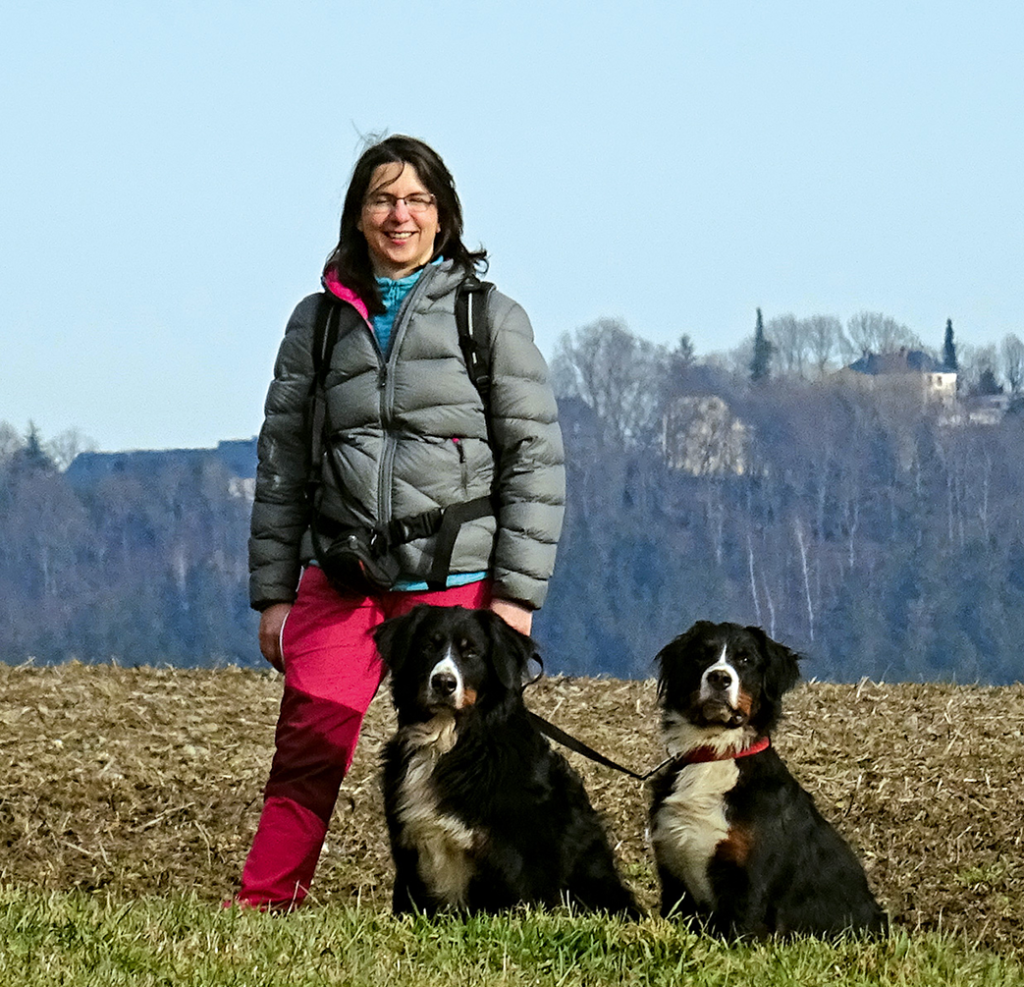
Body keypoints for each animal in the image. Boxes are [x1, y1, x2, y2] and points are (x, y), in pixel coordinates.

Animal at [376, 606, 638, 921]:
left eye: (471, 652)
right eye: (428, 646)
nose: (443, 683)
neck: (449, 743)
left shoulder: (511, 858)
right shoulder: (410, 855)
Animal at [651, 622, 884, 937]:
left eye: (745, 659)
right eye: (701, 655)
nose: (719, 677)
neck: (715, 755)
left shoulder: (749, 880)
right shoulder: (673, 875)